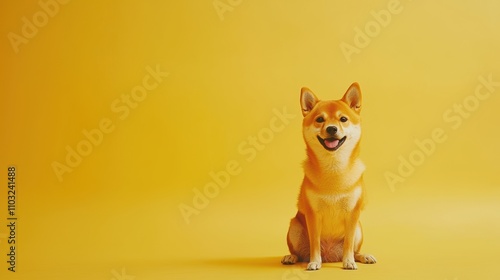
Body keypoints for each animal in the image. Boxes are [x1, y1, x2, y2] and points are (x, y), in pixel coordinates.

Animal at [280, 83, 376, 272]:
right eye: (319, 119)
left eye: (343, 119)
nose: (332, 128)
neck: (334, 168)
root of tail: (330, 255)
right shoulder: (313, 215)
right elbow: (314, 242)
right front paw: (314, 262)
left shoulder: (352, 214)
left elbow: (348, 244)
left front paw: (348, 261)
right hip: (294, 227)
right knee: (300, 252)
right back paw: (291, 257)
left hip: (359, 229)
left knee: (355, 249)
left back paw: (363, 256)